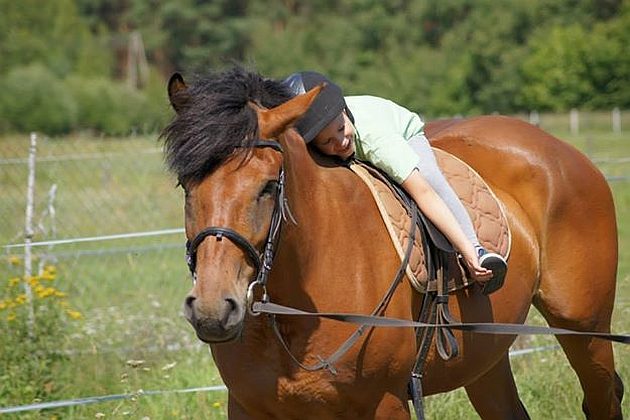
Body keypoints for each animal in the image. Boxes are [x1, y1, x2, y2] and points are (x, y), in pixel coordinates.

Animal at [160, 67, 624, 418]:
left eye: (268, 187)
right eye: (186, 185)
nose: (213, 310)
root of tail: (563, 151)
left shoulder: (385, 403)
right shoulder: (248, 407)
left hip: (584, 327)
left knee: (603, 397)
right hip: (485, 354)